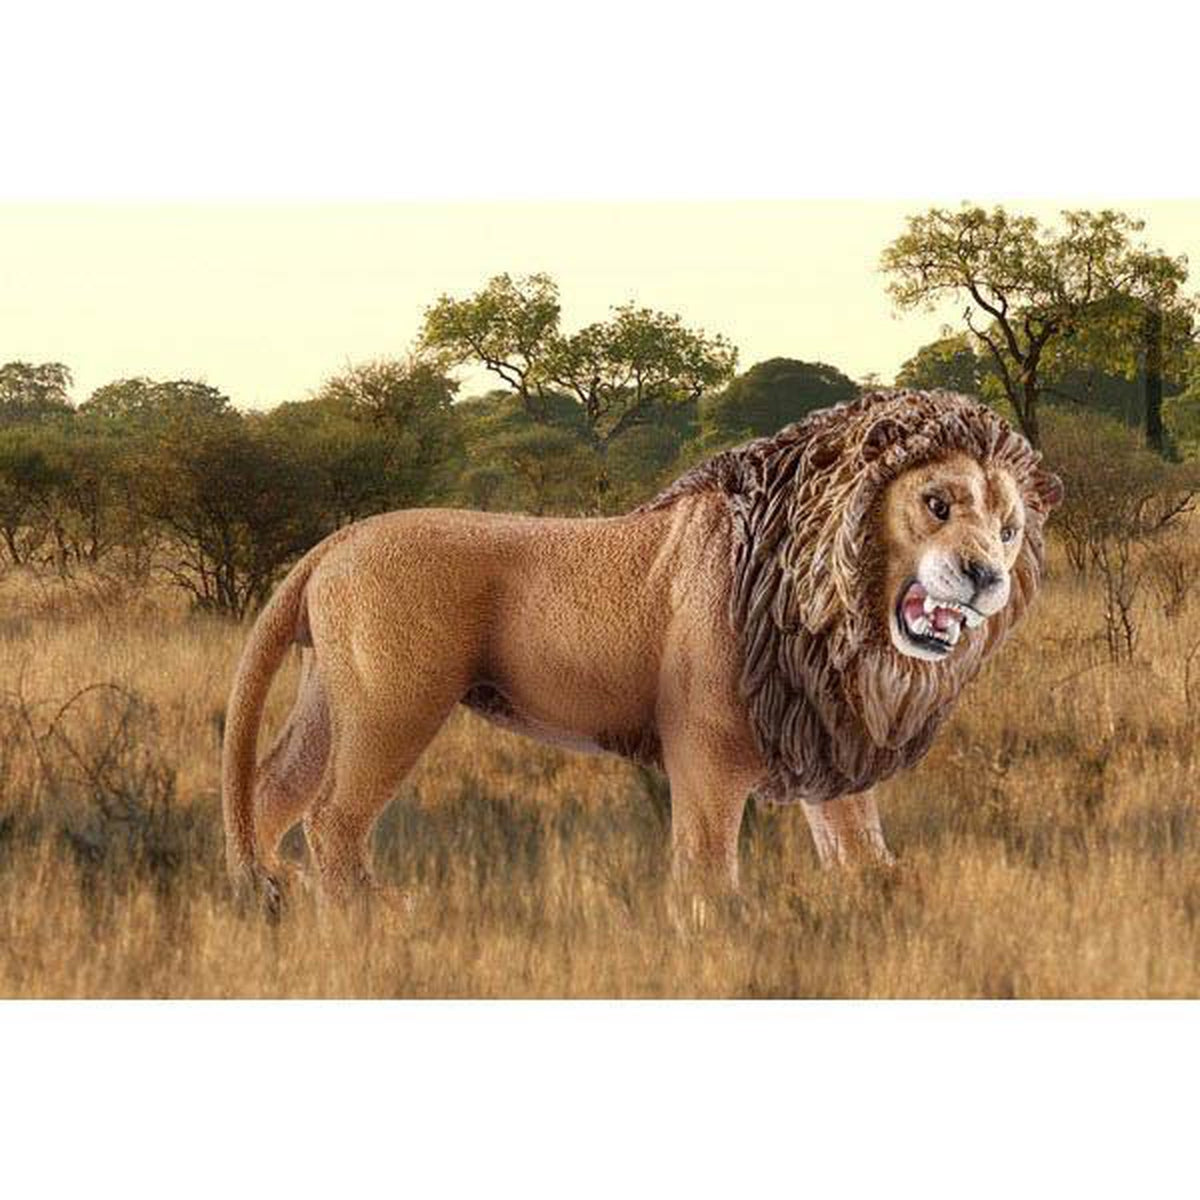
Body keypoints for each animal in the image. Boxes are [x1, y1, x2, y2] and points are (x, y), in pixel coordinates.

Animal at [221, 388, 1062, 911]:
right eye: (937, 503)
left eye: (1009, 529)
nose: (987, 576)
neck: (841, 624)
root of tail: (336, 540)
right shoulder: (708, 744)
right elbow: (707, 852)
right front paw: (718, 923)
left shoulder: (823, 728)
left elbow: (853, 832)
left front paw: (881, 891)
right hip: (395, 707)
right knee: (330, 814)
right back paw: (368, 912)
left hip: (333, 696)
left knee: (273, 787)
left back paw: (278, 893)